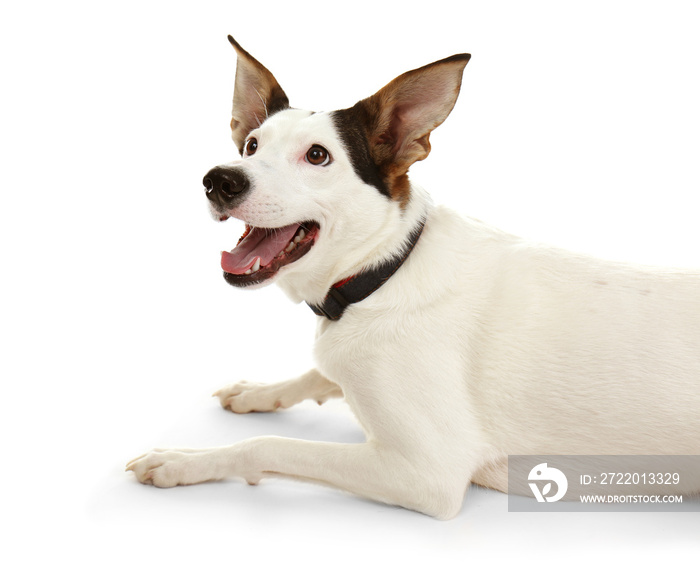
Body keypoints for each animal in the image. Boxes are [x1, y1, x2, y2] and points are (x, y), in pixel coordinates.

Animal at [129, 34, 700, 516]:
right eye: (250, 144)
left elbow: (266, 445)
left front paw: (182, 460)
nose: (218, 180)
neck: (383, 271)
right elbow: (317, 374)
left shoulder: (423, 473)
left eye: (317, 155)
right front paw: (257, 391)